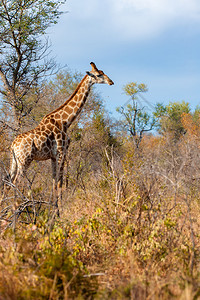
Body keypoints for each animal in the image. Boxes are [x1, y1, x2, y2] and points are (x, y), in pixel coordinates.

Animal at [2, 62, 114, 210]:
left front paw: (54, 207)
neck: (66, 120)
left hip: (14, 161)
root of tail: (13, 145)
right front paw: (60, 209)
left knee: (7, 181)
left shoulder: (53, 157)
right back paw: (16, 208)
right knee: (16, 182)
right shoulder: (62, 152)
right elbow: (60, 182)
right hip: (25, 160)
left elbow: (54, 181)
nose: (111, 82)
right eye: (98, 75)